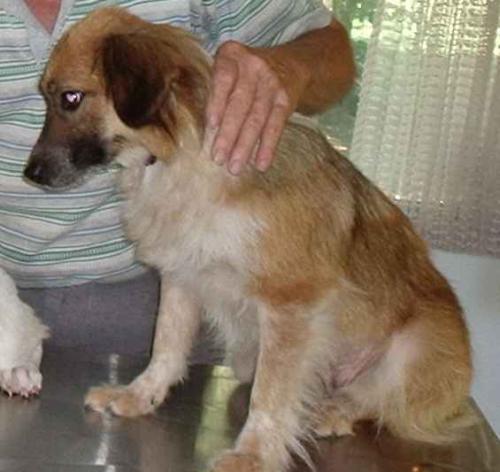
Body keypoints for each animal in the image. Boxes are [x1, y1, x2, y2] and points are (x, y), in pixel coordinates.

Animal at [24, 7, 473, 472]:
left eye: (71, 98)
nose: (31, 173)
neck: (182, 156)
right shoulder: (181, 276)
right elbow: (166, 345)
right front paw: (140, 394)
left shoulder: (291, 305)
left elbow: (271, 396)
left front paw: (254, 452)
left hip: (412, 350)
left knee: (382, 403)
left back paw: (336, 410)